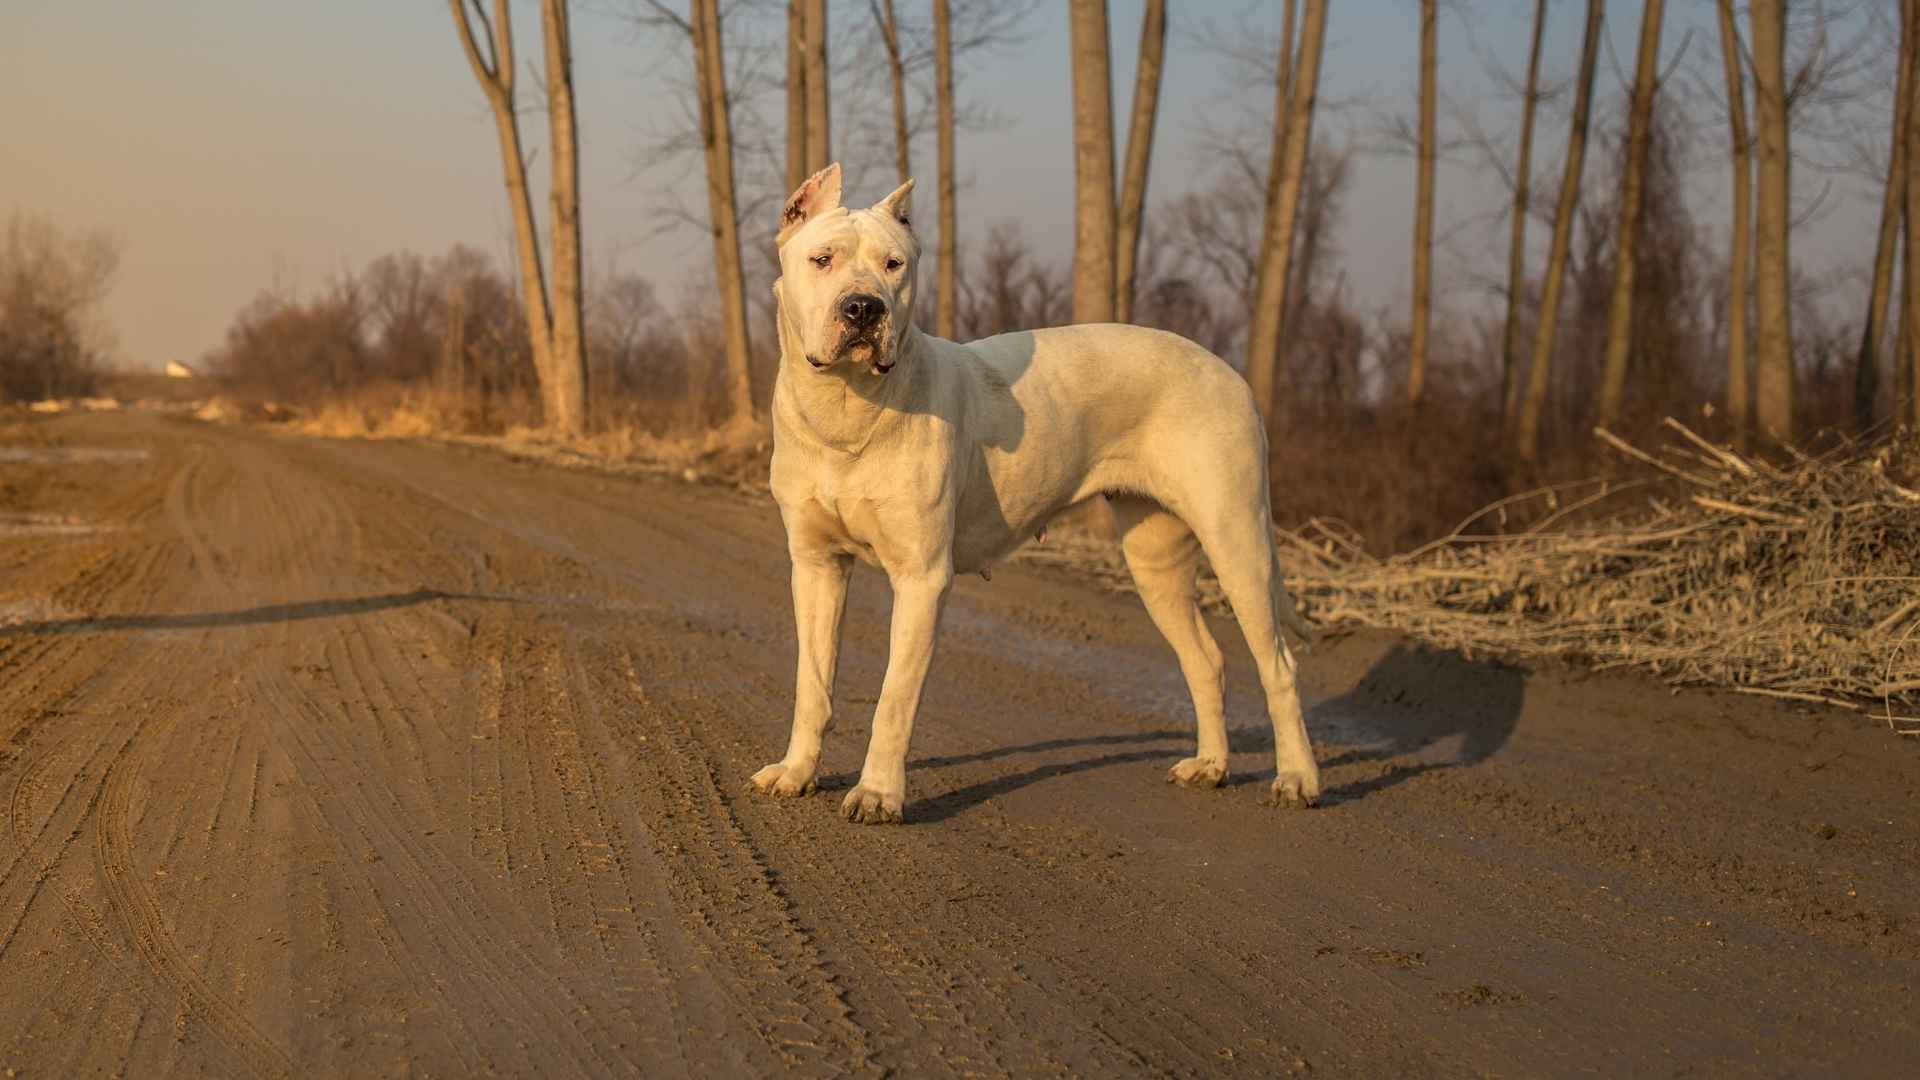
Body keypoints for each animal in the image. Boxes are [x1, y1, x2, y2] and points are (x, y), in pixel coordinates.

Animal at [748, 159, 1320, 818]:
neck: (847, 408)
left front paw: (877, 793)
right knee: (1206, 659)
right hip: (1155, 560)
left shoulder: (921, 578)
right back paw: (1211, 766)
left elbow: (894, 700)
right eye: (823, 260)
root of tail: (1230, 372)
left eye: (895, 265)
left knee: (1279, 665)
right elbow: (812, 683)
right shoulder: (817, 567)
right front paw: (796, 772)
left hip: (1237, 540)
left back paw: (1298, 778)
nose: (864, 308)